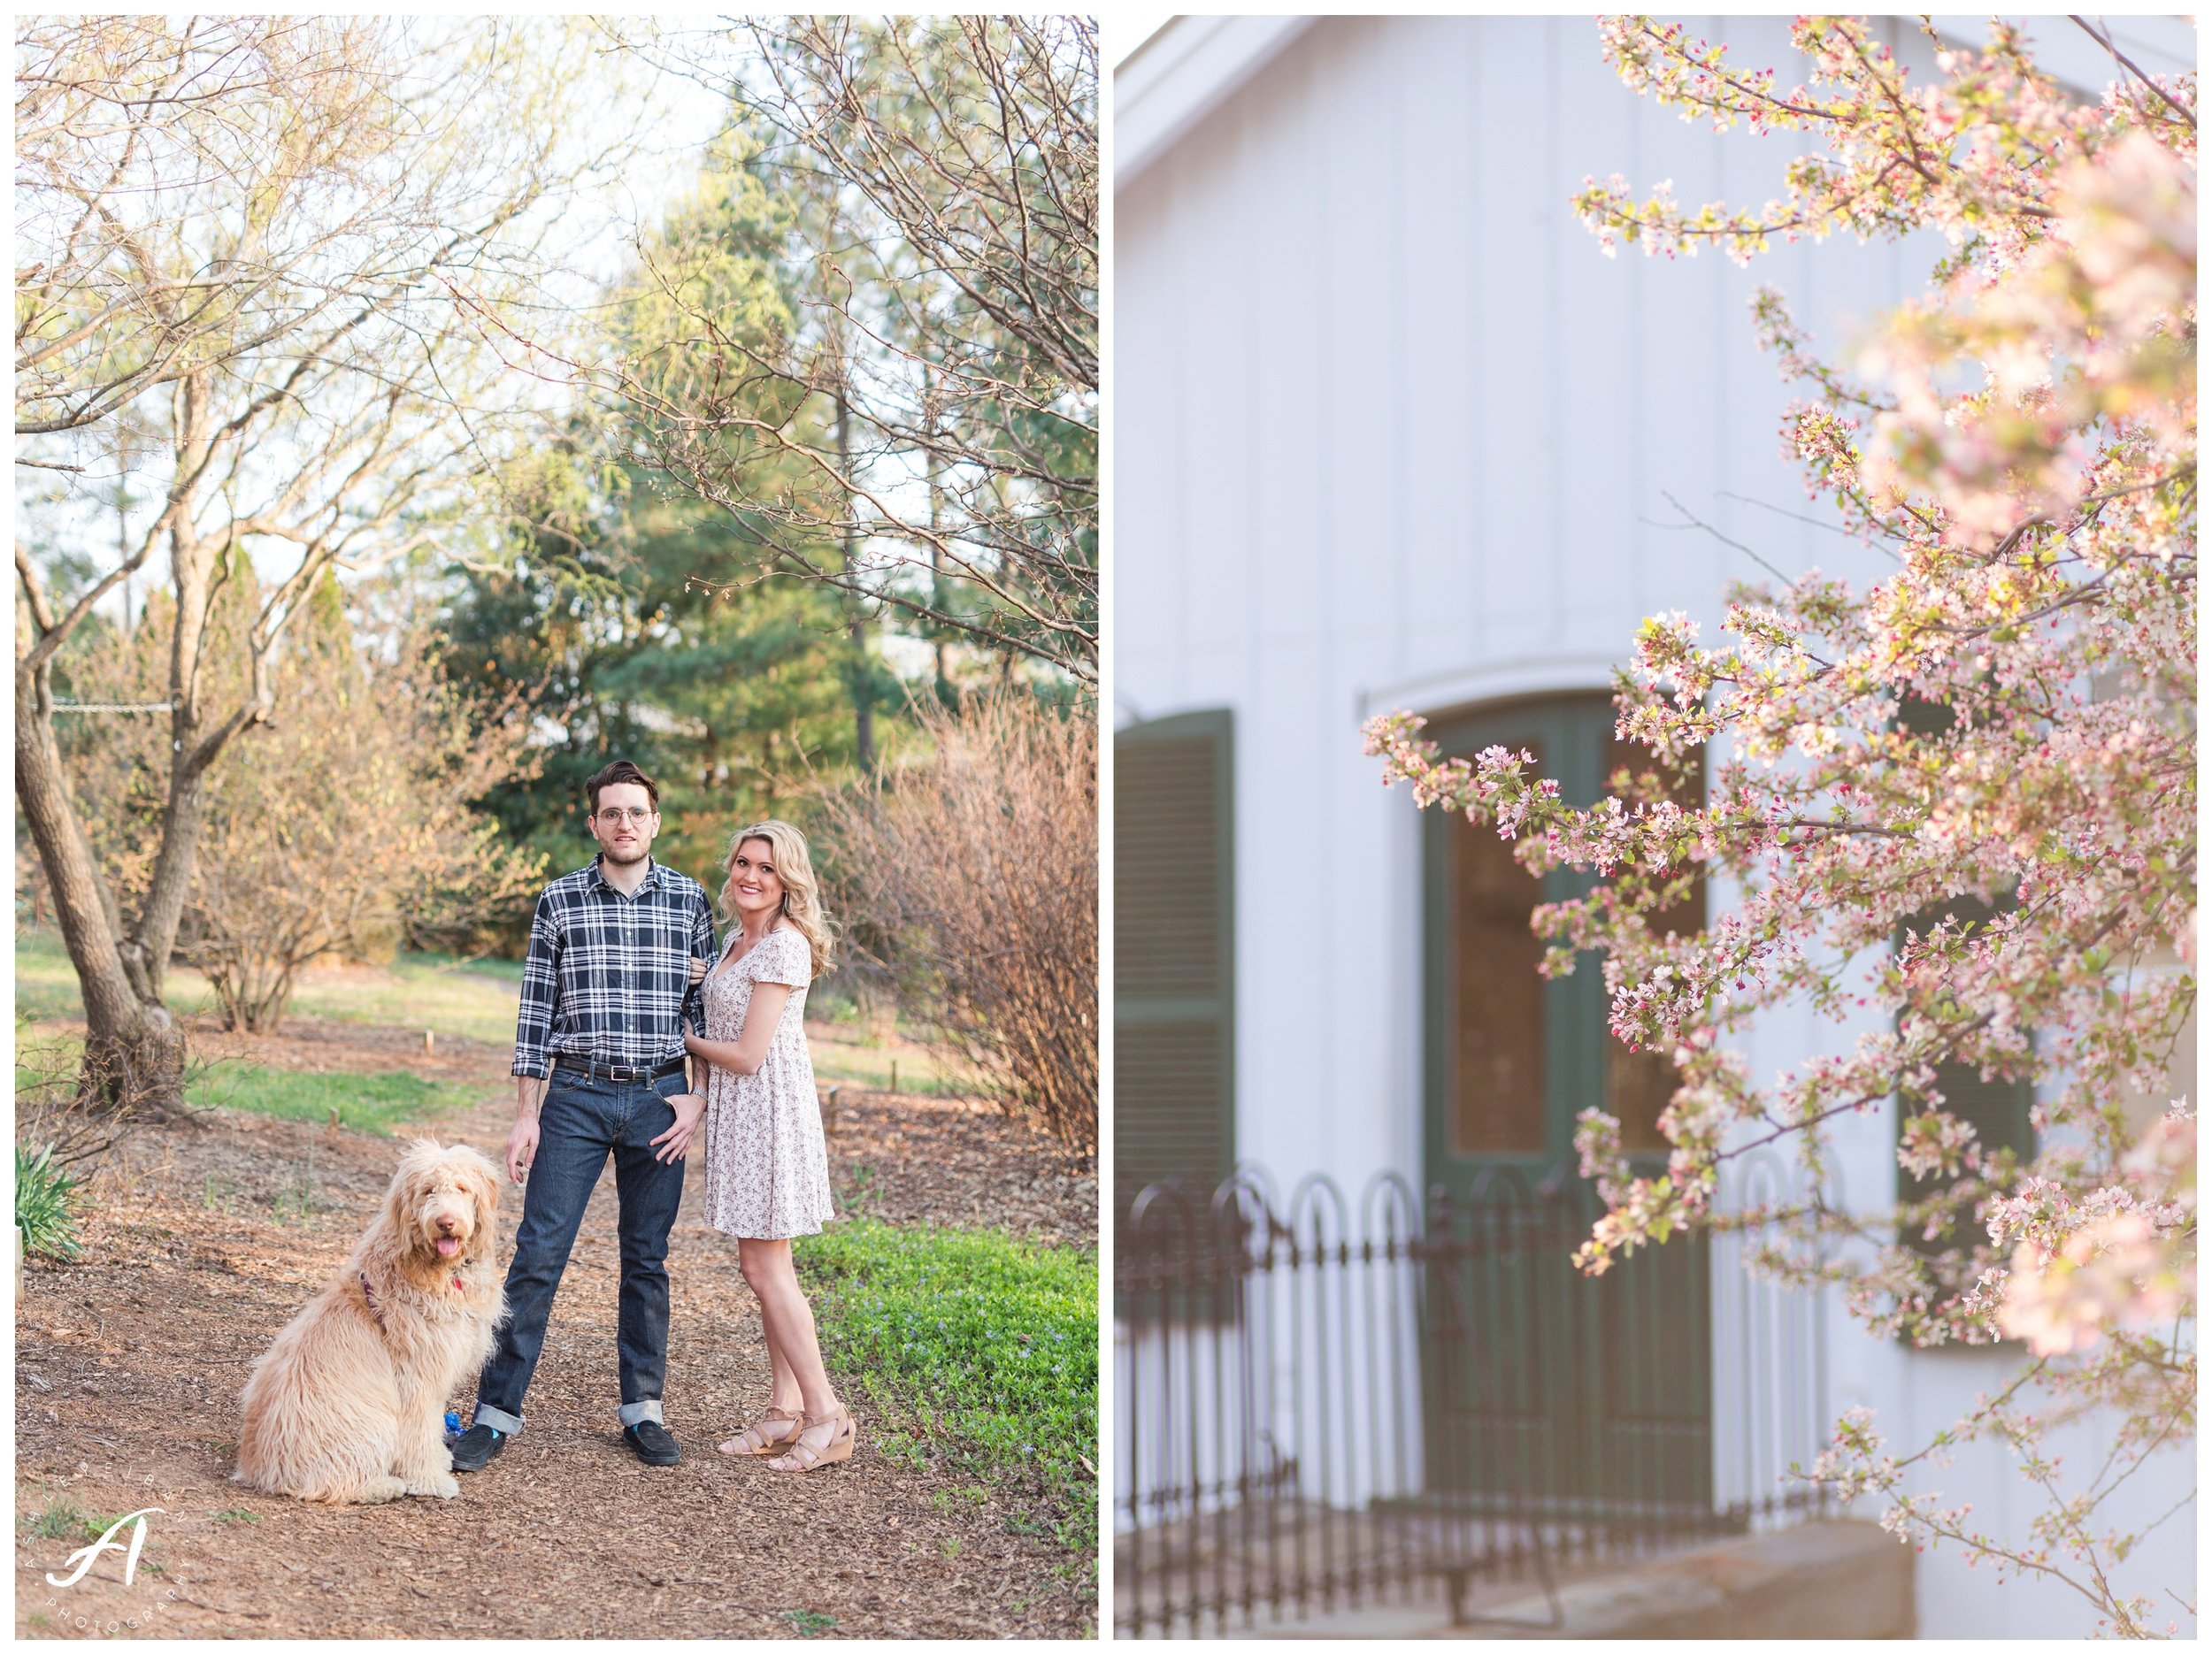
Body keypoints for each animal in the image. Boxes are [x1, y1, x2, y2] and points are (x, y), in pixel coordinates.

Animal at [237, 1141, 506, 1495]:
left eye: (462, 1188)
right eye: (428, 1191)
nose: (445, 1222)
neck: (438, 1268)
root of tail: (265, 1471)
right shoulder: (417, 1377)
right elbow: (420, 1431)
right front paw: (429, 1478)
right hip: (370, 1424)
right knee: (336, 1482)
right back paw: (383, 1486)